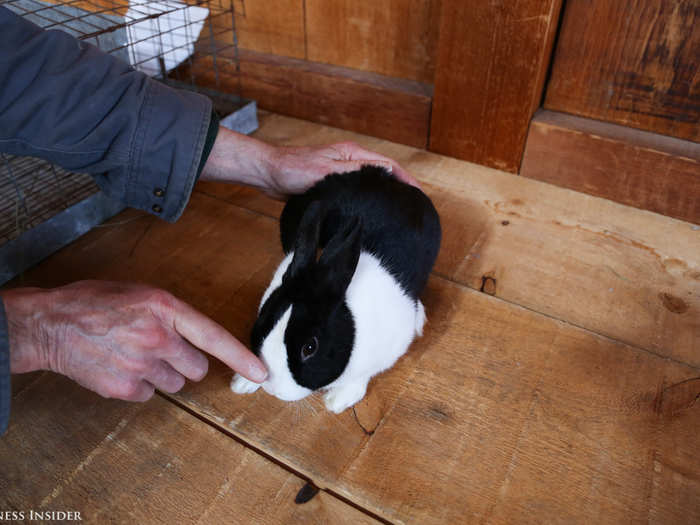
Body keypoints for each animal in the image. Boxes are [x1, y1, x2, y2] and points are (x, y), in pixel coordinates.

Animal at [232, 166, 440, 412]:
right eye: (264, 320)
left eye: (309, 348)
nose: (273, 389)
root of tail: (382, 176)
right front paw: (244, 382)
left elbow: (362, 376)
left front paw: (337, 401)